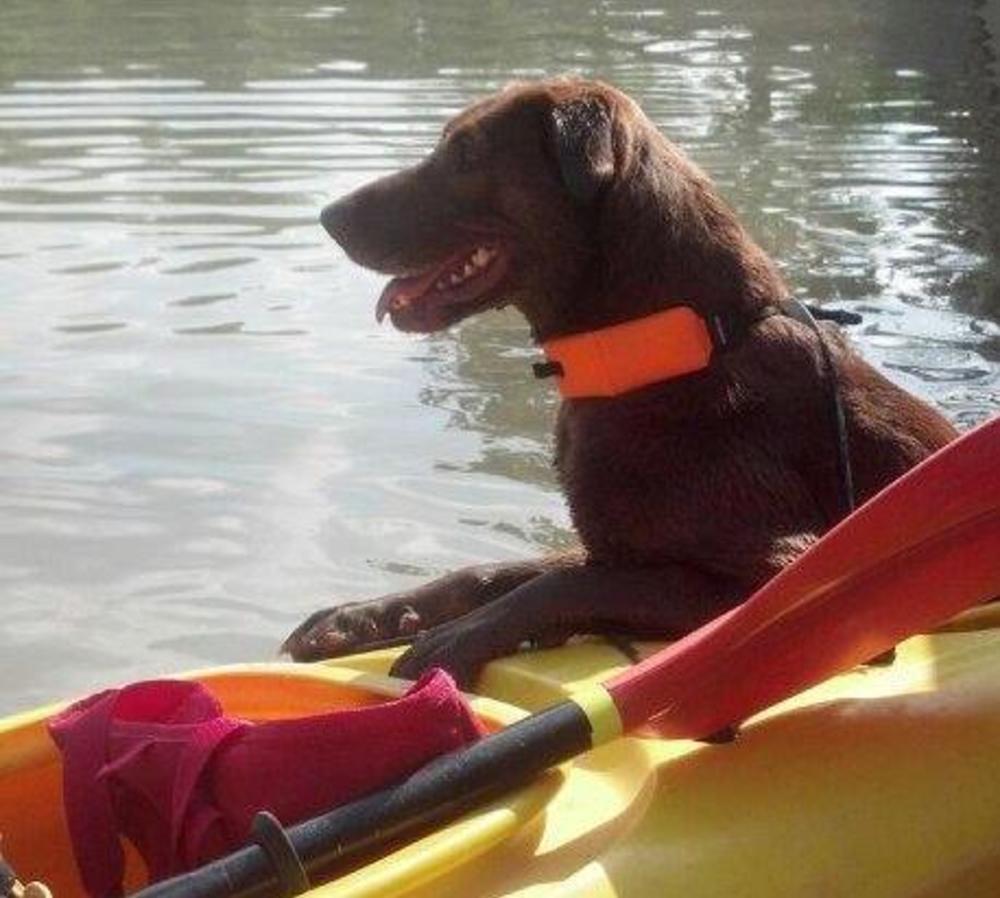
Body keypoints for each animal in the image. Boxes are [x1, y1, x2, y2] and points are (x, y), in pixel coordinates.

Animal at [284, 80, 960, 684]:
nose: (328, 216)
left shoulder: (782, 576)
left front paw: (453, 638)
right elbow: (497, 573)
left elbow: (563, 582)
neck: (667, 350)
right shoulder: (609, 546)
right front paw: (367, 617)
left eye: (468, 155)